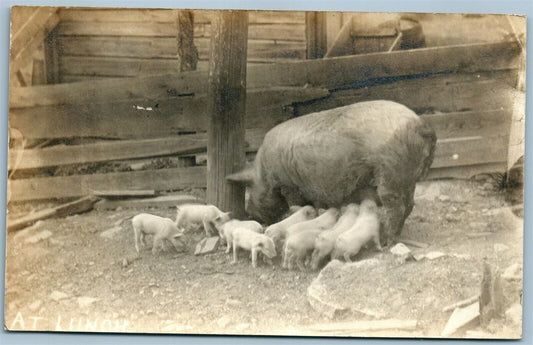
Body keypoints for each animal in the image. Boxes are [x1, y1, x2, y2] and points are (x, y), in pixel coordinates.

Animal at [227, 99, 434, 245]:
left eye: (251, 187)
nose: (249, 213)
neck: (265, 173)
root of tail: (418, 124)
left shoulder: (290, 185)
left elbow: (297, 204)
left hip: (390, 174)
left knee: (397, 208)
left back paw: (387, 240)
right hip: (407, 178)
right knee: (410, 204)